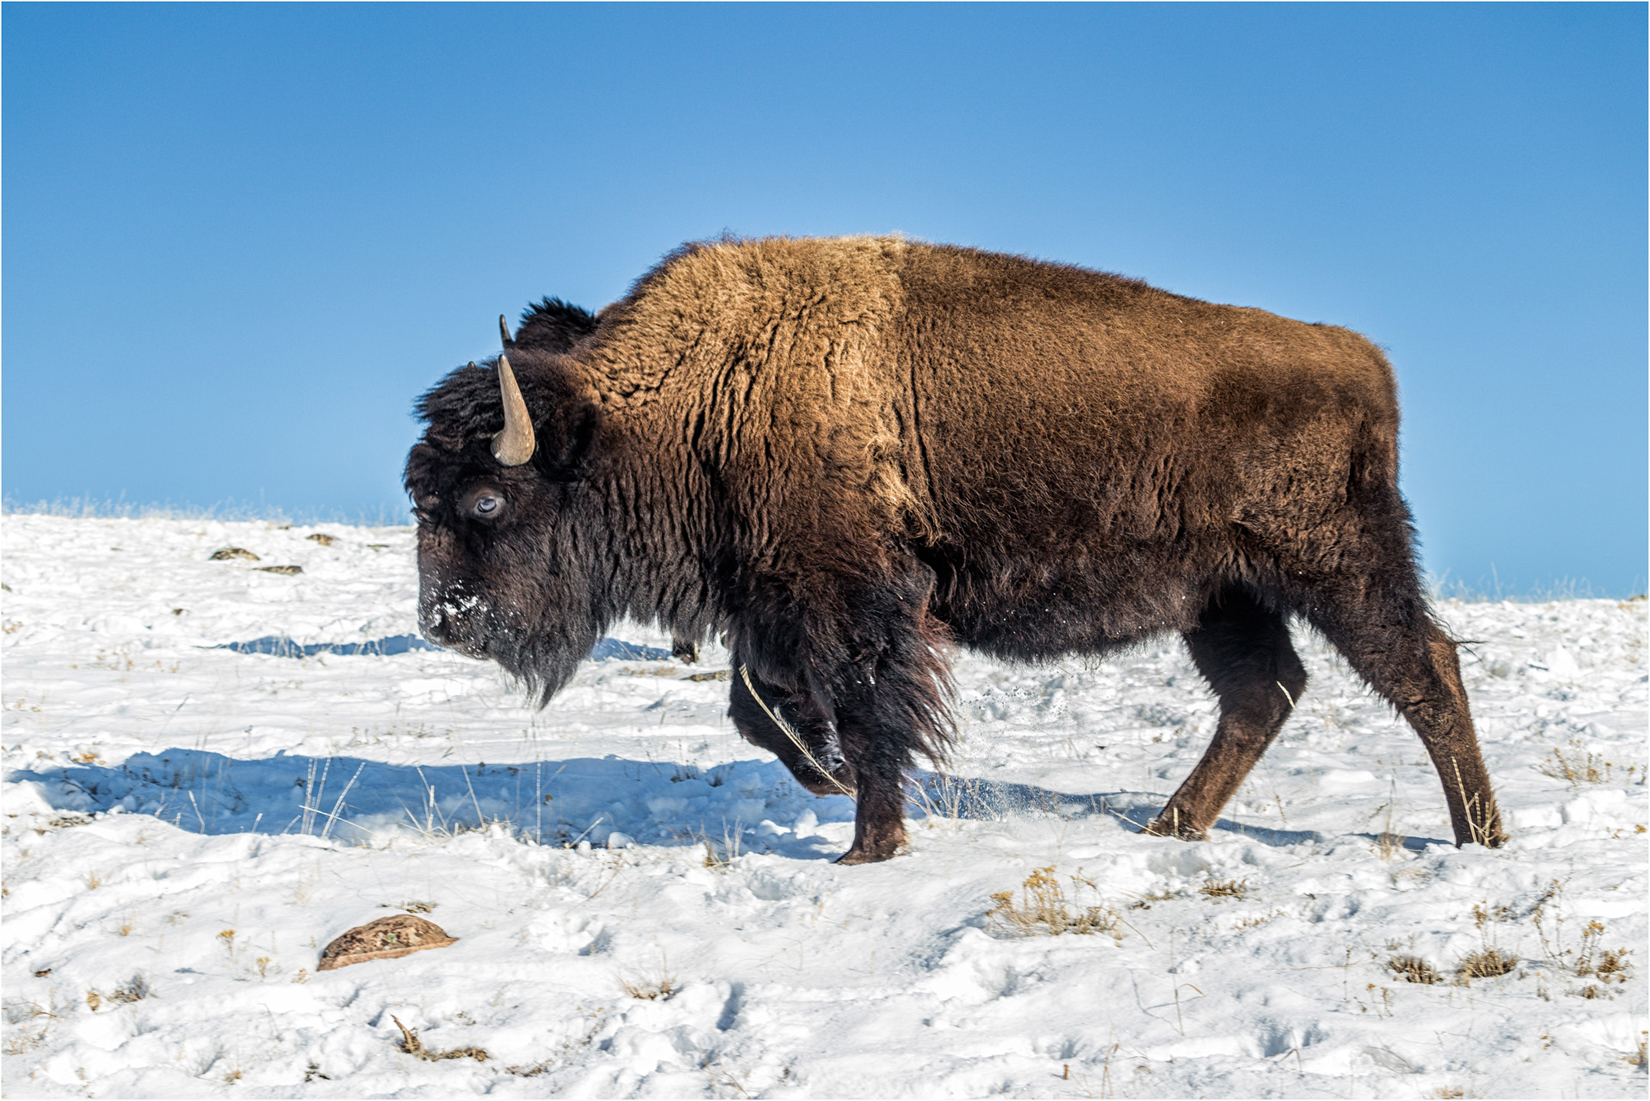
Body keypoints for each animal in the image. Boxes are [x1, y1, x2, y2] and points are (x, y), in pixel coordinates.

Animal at [405, 235, 1506, 864]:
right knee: (1263, 693)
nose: (443, 620)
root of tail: (1363, 361)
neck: (707, 390)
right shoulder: (774, 603)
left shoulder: (857, 602)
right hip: (1222, 597)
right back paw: (1170, 827)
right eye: (420, 497)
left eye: (489, 499)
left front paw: (868, 844)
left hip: (1337, 566)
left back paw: (1480, 838)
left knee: (1424, 671)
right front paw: (827, 779)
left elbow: (868, 714)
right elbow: (762, 710)